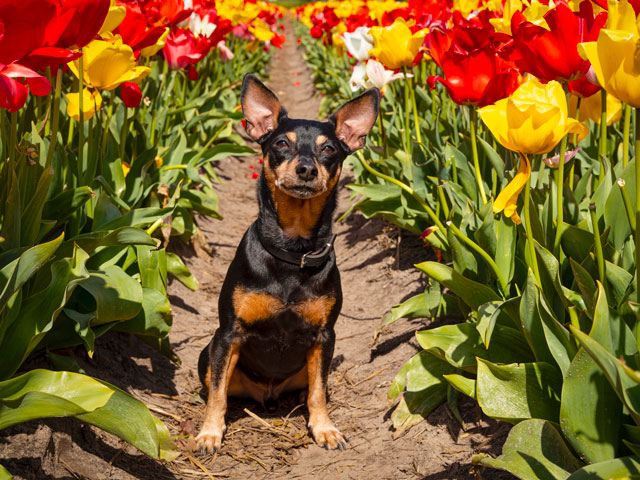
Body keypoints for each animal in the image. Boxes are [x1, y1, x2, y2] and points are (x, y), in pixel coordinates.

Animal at [195, 75, 380, 454]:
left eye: (329, 149)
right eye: (281, 143)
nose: (306, 168)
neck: (293, 250)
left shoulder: (325, 336)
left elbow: (318, 391)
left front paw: (324, 428)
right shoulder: (228, 333)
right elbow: (218, 392)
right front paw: (209, 432)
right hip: (208, 352)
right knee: (217, 385)